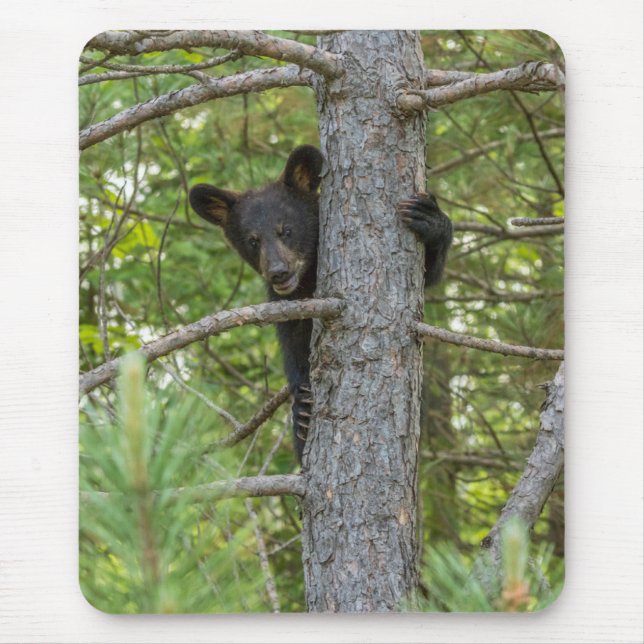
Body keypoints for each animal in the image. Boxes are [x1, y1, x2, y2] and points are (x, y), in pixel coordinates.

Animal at [189, 145, 453, 464]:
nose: (278, 272)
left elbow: (429, 273)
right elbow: (293, 344)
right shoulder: (288, 304)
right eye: (253, 240)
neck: (307, 278)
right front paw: (301, 407)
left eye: (286, 230)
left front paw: (430, 218)